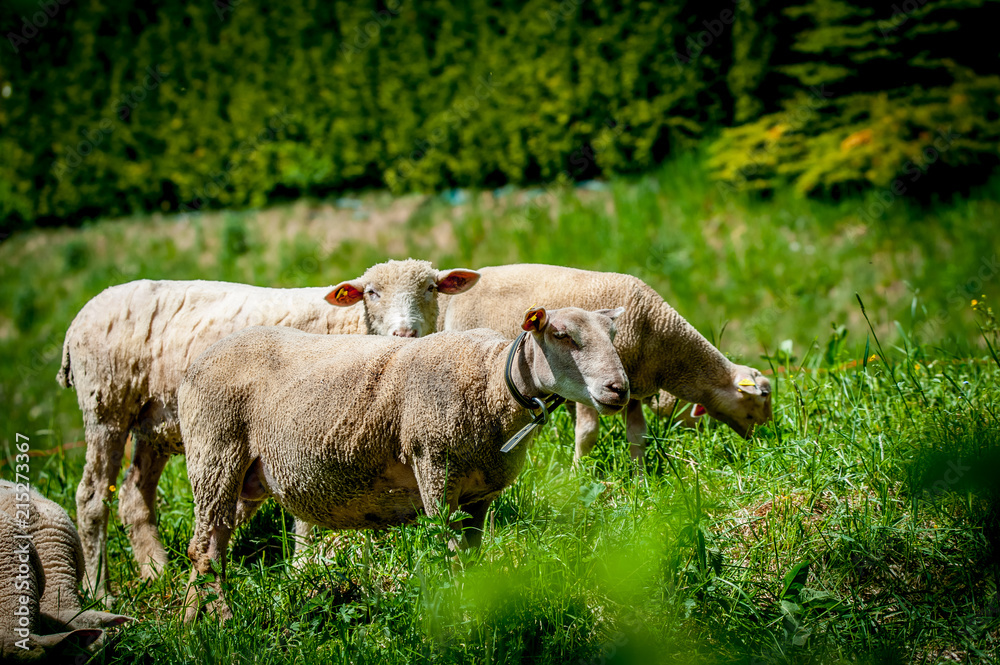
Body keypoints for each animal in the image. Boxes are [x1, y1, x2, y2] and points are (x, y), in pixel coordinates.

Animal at [56, 258, 480, 602]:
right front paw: (305, 563)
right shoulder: (305, 425)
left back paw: (156, 571)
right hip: (106, 406)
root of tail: (78, 318)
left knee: (134, 496)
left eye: (430, 288)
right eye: (372, 293)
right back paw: (99, 590)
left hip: (154, 423)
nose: (405, 333)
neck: (352, 325)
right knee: (92, 496)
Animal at [178, 305, 628, 621]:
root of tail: (195, 363)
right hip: (214, 451)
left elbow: (472, 560)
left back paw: (189, 628)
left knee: (209, 547)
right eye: (561, 334)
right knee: (204, 550)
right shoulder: (434, 466)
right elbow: (451, 557)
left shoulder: (478, 496)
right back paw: (219, 624)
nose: (618, 389)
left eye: (612, 335)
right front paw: (464, 620)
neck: (490, 384)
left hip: (244, 477)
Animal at [437, 264, 771, 465]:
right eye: (760, 398)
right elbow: (587, 434)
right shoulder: (587, 388)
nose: (766, 439)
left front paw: (640, 478)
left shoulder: (631, 385)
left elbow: (638, 435)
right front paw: (578, 473)